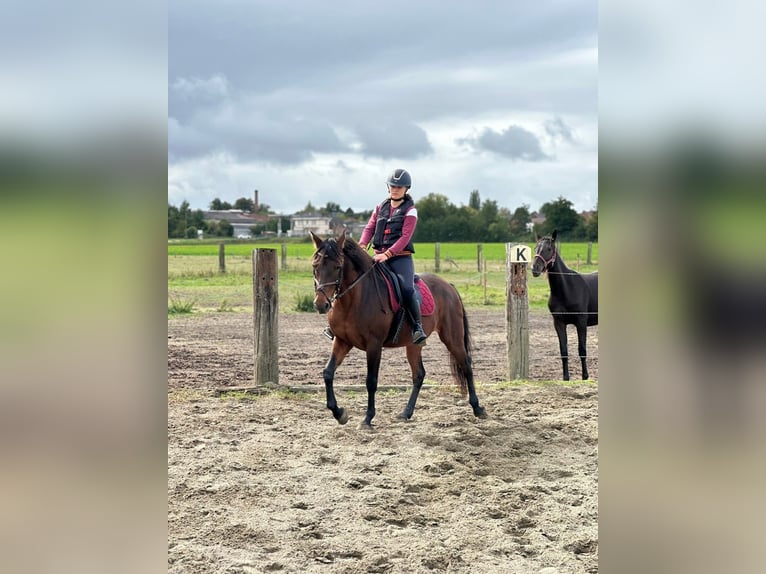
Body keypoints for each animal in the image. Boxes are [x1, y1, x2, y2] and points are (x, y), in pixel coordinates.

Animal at [310, 230, 487, 427]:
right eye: (315, 266)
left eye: (338, 267)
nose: (320, 305)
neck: (353, 301)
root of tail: (449, 286)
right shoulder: (342, 341)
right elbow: (327, 373)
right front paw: (339, 413)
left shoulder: (374, 345)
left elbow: (371, 381)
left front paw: (368, 418)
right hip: (414, 344)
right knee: (419, 374)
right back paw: (406, 413)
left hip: (452, 338)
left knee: (466, 366)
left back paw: (478, 408)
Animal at [531, 230, 598, 380]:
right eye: (535, 248)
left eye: (549, 249)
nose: (534, 269)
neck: (567, 288)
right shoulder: (559, 323)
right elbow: (563, 351)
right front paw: (566, 377)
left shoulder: (581, 322)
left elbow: (582, 349)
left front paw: (585, 376)